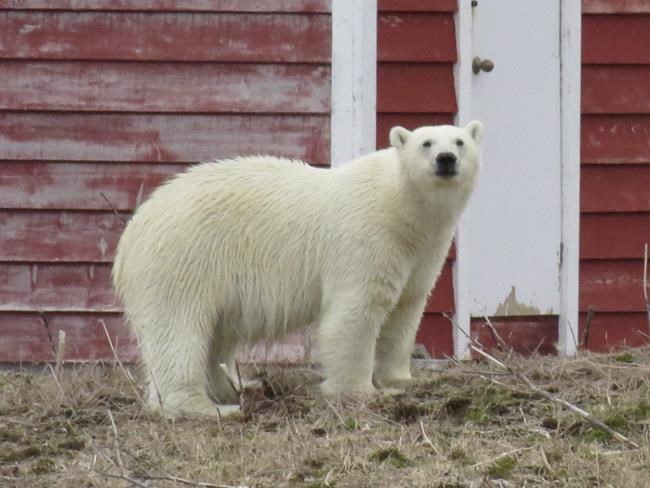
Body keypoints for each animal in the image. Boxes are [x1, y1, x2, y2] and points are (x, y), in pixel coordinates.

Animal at [112, 121, 484, 417]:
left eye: (459, 141)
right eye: (426, 143)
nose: (446, 159)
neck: (399, 205)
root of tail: (130, 235)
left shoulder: (420, 252)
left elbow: (406, 309)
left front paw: (400, 379)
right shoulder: (367, 239)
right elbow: (355, 313)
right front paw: (361, 390)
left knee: (216, 335)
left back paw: (235, 386)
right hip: (183, 261)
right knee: (178, 330)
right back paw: (208, 408)